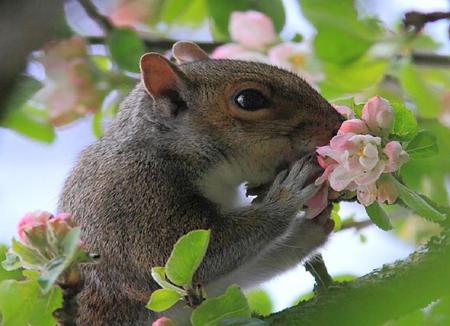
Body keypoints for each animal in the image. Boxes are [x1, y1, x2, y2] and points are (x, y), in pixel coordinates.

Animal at [58, 41, 342, 326]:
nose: (338, 125)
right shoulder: (132, 198)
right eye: (249, 99)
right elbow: (171, 254)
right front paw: (286, 195)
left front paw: (308, 231)